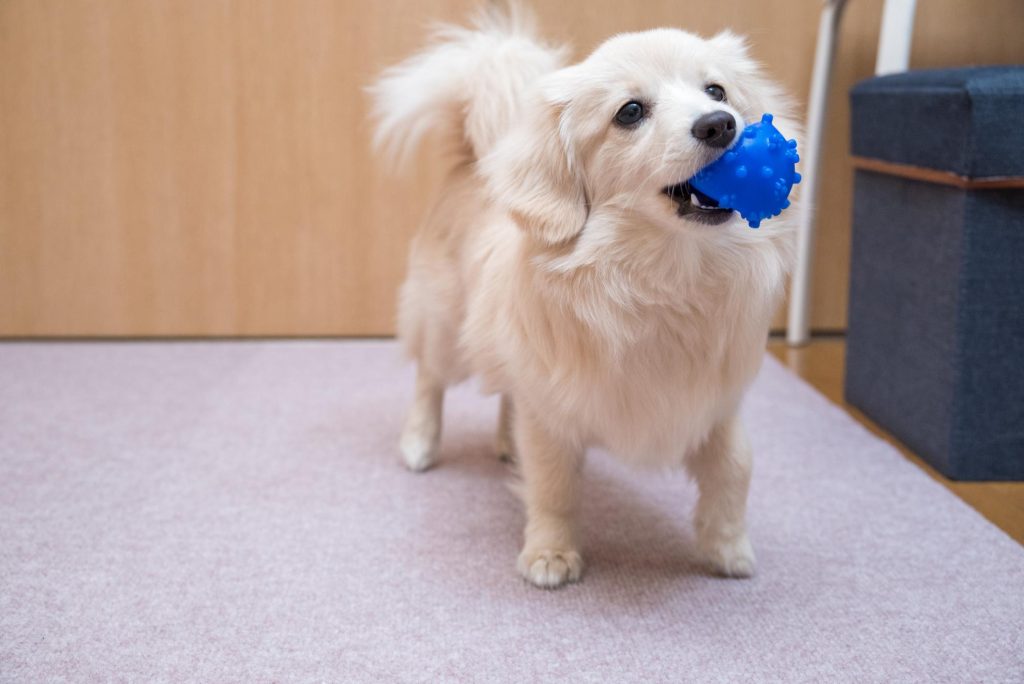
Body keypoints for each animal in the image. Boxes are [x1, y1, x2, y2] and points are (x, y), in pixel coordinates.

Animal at [370, 5, 798, 589]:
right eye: (630, 112)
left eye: (717, 91)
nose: (719, 124)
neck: (665, 277)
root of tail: (471, 161)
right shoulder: (553, 412)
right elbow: (554, 488)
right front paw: (550, 555)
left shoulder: (715, 407)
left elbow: (735, 469)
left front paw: (727, 549)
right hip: (445, 330)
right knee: (428, 381)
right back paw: (419, 445)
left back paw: (506, 445)